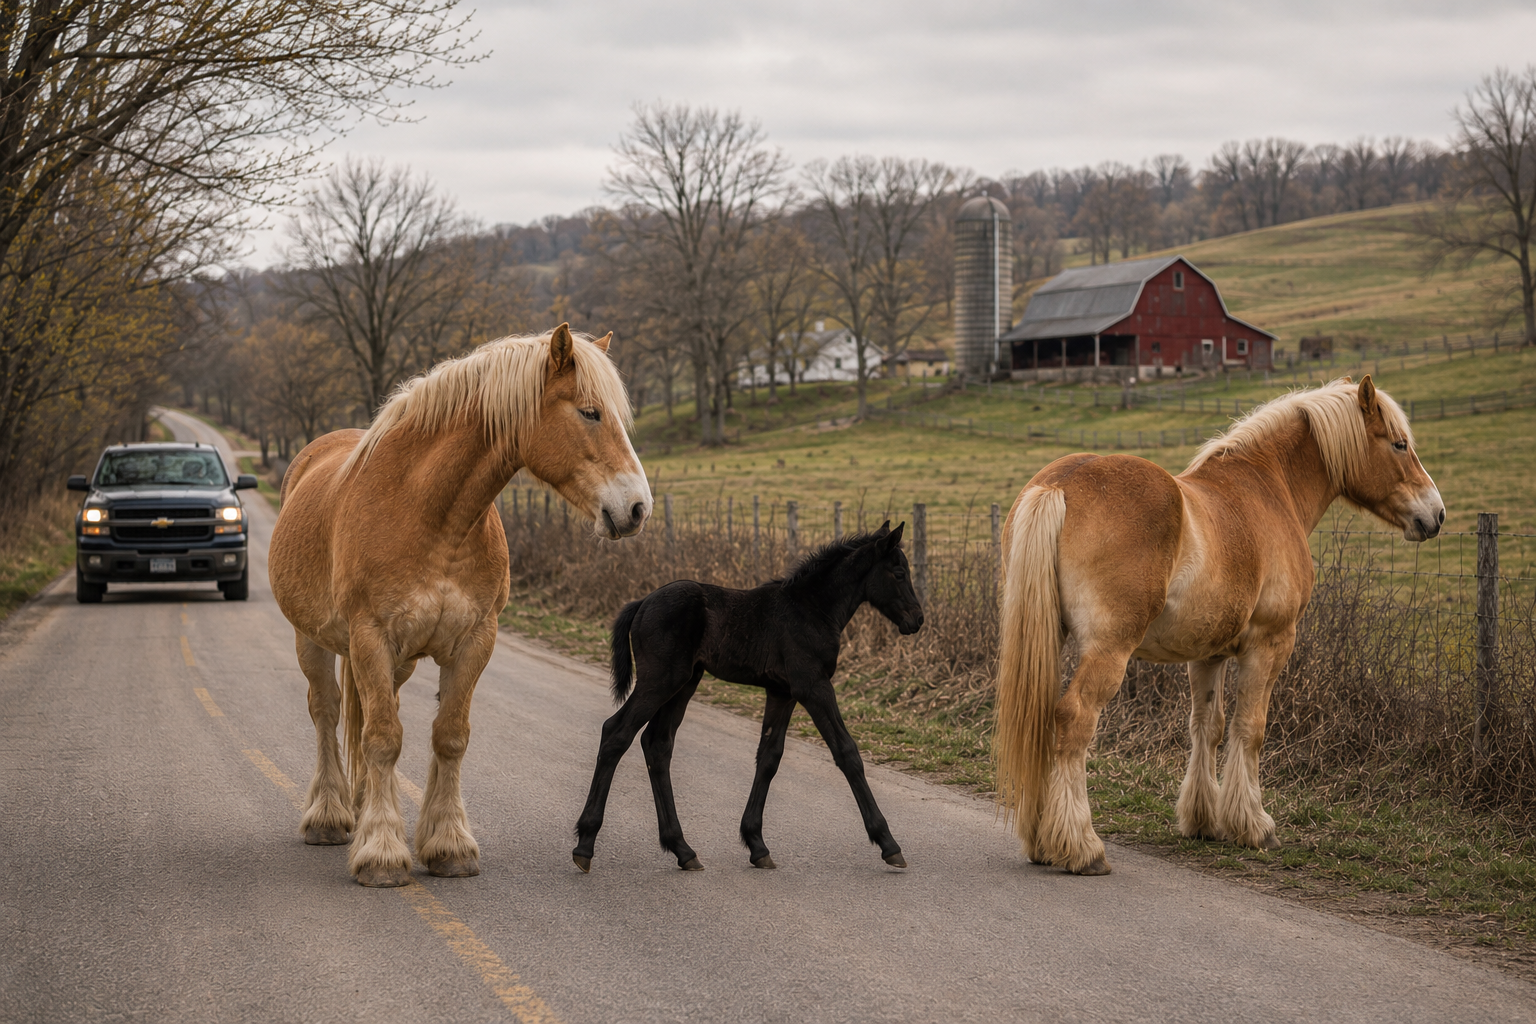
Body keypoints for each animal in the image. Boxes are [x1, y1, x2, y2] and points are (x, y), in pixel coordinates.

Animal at [268, 324, 650, 887]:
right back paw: (332, 816)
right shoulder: (370, 638)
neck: (428, 513)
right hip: (313, 641)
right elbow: (382, 739)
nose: (637, 508)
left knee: (366, 715)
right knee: (327, 711)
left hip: (397, 662)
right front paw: (382, 854)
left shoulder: (474, 642)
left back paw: (361, 806)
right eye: (589, 412)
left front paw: (447, 845)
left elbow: (448, 737)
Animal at [571, 523, 925, 874]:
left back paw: (683, 850)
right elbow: (847, 753)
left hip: (684, 683)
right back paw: (585, 844)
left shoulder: (782, 692)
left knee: (657, 744)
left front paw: (756, 844)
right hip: (659, 680)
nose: (918, 619)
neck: (811, 609)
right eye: (898, 573)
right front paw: (888, 843)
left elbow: (769, 756)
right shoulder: (813, 686)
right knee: (616, 733)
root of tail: (642, 602)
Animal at [993, 376, 1443, 875]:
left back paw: (1041, 841)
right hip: (1109, 650)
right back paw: (1082, 847)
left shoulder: (1207, 654)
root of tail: (1058, 486)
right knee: (1073, 721)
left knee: (1040, 720)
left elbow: (1206, 726)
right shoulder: (1270, 644)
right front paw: (1254, 825)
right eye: (1400, 444)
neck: (1268, 490)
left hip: (1050, 640)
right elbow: (1250, 728)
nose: (1436, 515)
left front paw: (1203, 821)